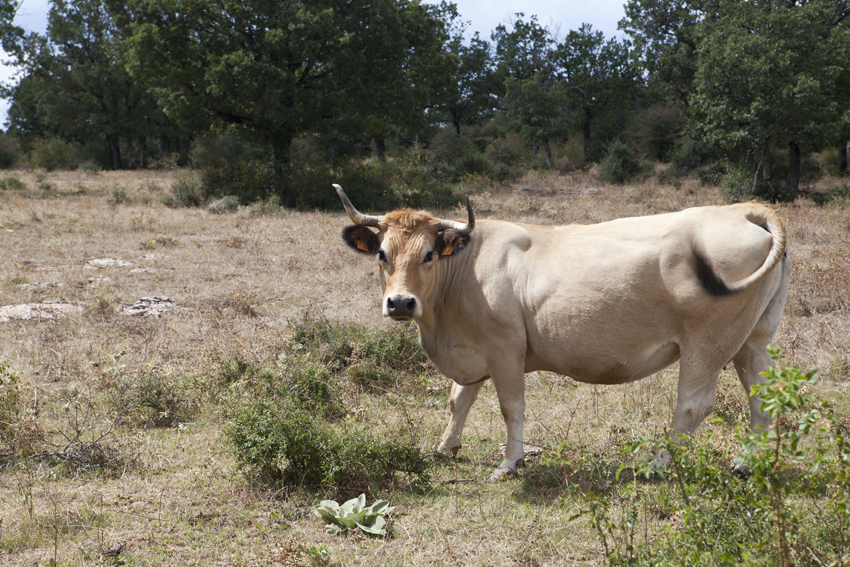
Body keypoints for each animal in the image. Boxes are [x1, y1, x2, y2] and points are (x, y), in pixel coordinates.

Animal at [332, 185, 788, 480]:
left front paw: (509, 463)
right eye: (381, 253)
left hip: (707, 343)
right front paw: (445, 448)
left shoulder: (504, 349)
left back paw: (655, 465)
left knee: (693, 406)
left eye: (428, 254)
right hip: (754, 339)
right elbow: (458, 401)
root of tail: (741, 209)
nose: (401, 303)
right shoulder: (471, 351)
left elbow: (511, 407)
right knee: (761, 398)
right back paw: (747, 464)